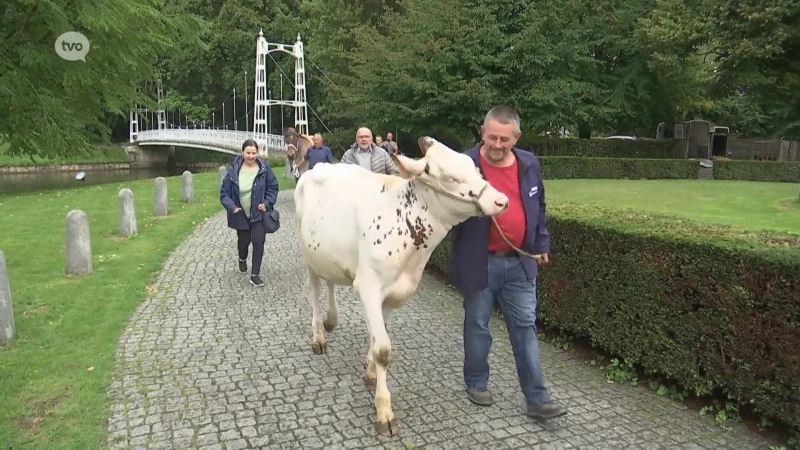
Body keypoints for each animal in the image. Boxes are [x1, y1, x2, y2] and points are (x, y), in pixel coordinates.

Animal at [296, 137, 512, 436]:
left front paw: (370, 372)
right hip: (308, 257)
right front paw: (384, 411)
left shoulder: (394, 293)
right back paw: (318, 335)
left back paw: (332, 319)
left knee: (329, 282)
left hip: (326, 253)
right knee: (314, 290)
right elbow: (383, 349)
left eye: (476, 170)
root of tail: (318, 167)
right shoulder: (369, 286)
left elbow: (379, 338)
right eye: (452, 177)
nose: (500, 200)